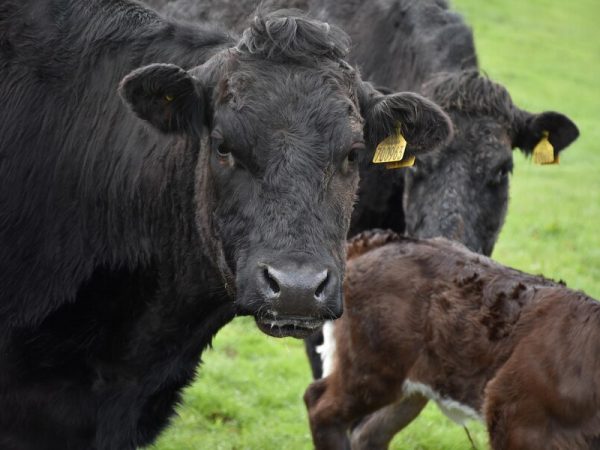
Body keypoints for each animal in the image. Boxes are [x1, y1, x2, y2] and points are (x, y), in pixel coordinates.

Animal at [304, 232, 600, 450]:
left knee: (370, 433)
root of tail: (382, 241)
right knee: (320, 405)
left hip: (415, 380)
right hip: (372, 366)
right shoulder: (518, 420)